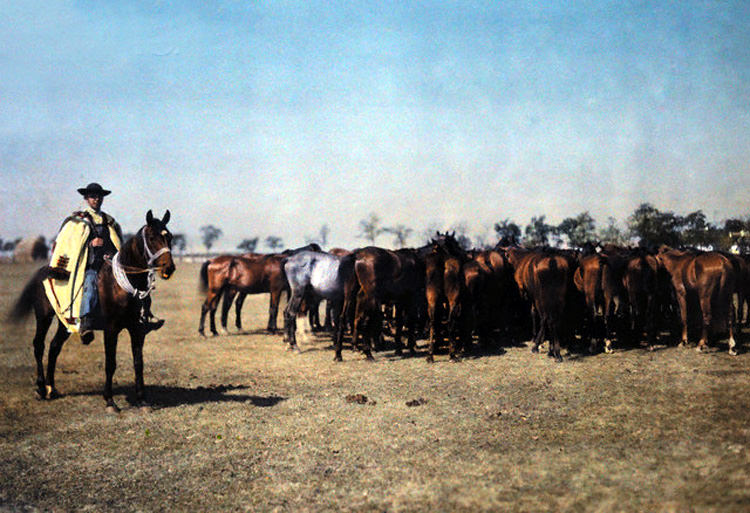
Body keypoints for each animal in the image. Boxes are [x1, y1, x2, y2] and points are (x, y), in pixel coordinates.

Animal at [8, 210, 176, 410]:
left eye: (170, 237)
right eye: (151, 238)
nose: (169, 268)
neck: (122, 286)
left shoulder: (137, 330)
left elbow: (138, 363)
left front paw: (142, 399)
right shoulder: (111, 329)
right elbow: (110, 363)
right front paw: (109, 400)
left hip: (65, 322)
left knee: (54, 346)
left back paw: (52, 388)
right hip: (44, 316)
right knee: (39, 345)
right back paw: (41, 388)